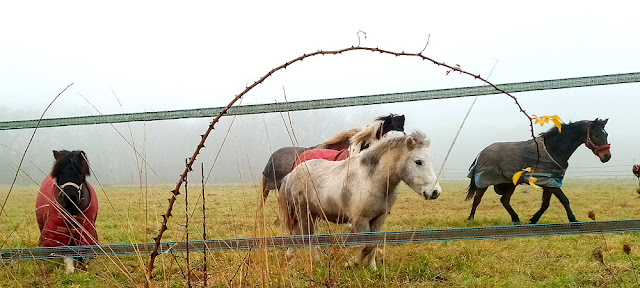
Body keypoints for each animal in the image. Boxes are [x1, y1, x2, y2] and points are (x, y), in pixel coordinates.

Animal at [278, 130, 442, 268]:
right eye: (418, 161)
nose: (435, 192)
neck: (372, 180)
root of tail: (291, 175)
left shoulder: (378, 219)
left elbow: (373, 245)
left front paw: (372, 268)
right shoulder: (360, 220)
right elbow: (366, 246)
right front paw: (350, 264)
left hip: (312, 215)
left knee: (299, 236)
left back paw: (291, 259)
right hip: (304, 214)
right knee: (306, 238)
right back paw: (312, 262)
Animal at [464, 118, 608, 225]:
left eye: (605, 134)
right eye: (595, 134)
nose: (607, 156)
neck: (553, 149)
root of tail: (481, 153)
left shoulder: (550, 182)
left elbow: (545, 204)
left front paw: (533, 220)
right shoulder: (550, 182)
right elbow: (564, 200)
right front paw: (573, 220)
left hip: (510, 184)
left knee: (504, 200)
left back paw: (516, 219)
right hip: (484, 182)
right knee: (477, 199)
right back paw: (470, 219)